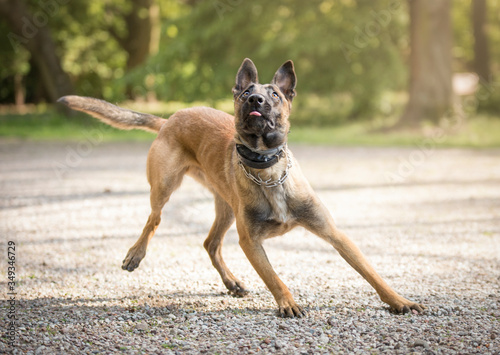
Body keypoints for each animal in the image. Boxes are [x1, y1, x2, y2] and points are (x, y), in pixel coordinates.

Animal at [58, 59, 426, 320]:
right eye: (246, 93)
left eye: (274, 94)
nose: (256, 98)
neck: (268, 170)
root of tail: (171, 118)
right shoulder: (250, 242)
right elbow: (274, 277)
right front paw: (287, 303)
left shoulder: (334, 234)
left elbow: (370, 272)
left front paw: (399, 301)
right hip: (165, 186)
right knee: (155, 219)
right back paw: (135, 254)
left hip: (226, 208)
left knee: (210, 243)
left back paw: (231, 282)